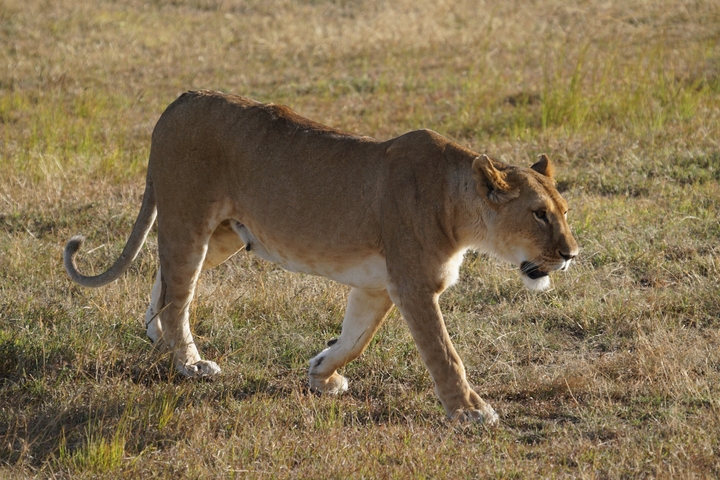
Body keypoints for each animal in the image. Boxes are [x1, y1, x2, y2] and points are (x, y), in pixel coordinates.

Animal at [64, 90, 578, 424]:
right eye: (538, 214)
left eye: (565, 212)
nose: (572, 254)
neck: (460, 207)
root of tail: (178, 101)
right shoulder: (413, 284)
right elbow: (444, 353)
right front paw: (471, 411)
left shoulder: (376, 286)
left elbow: (355, 340)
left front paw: (321, 375)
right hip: (189, 219)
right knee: (177, 294)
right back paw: (189, 363)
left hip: (223, 235)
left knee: (170, 284)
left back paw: (159, 339)